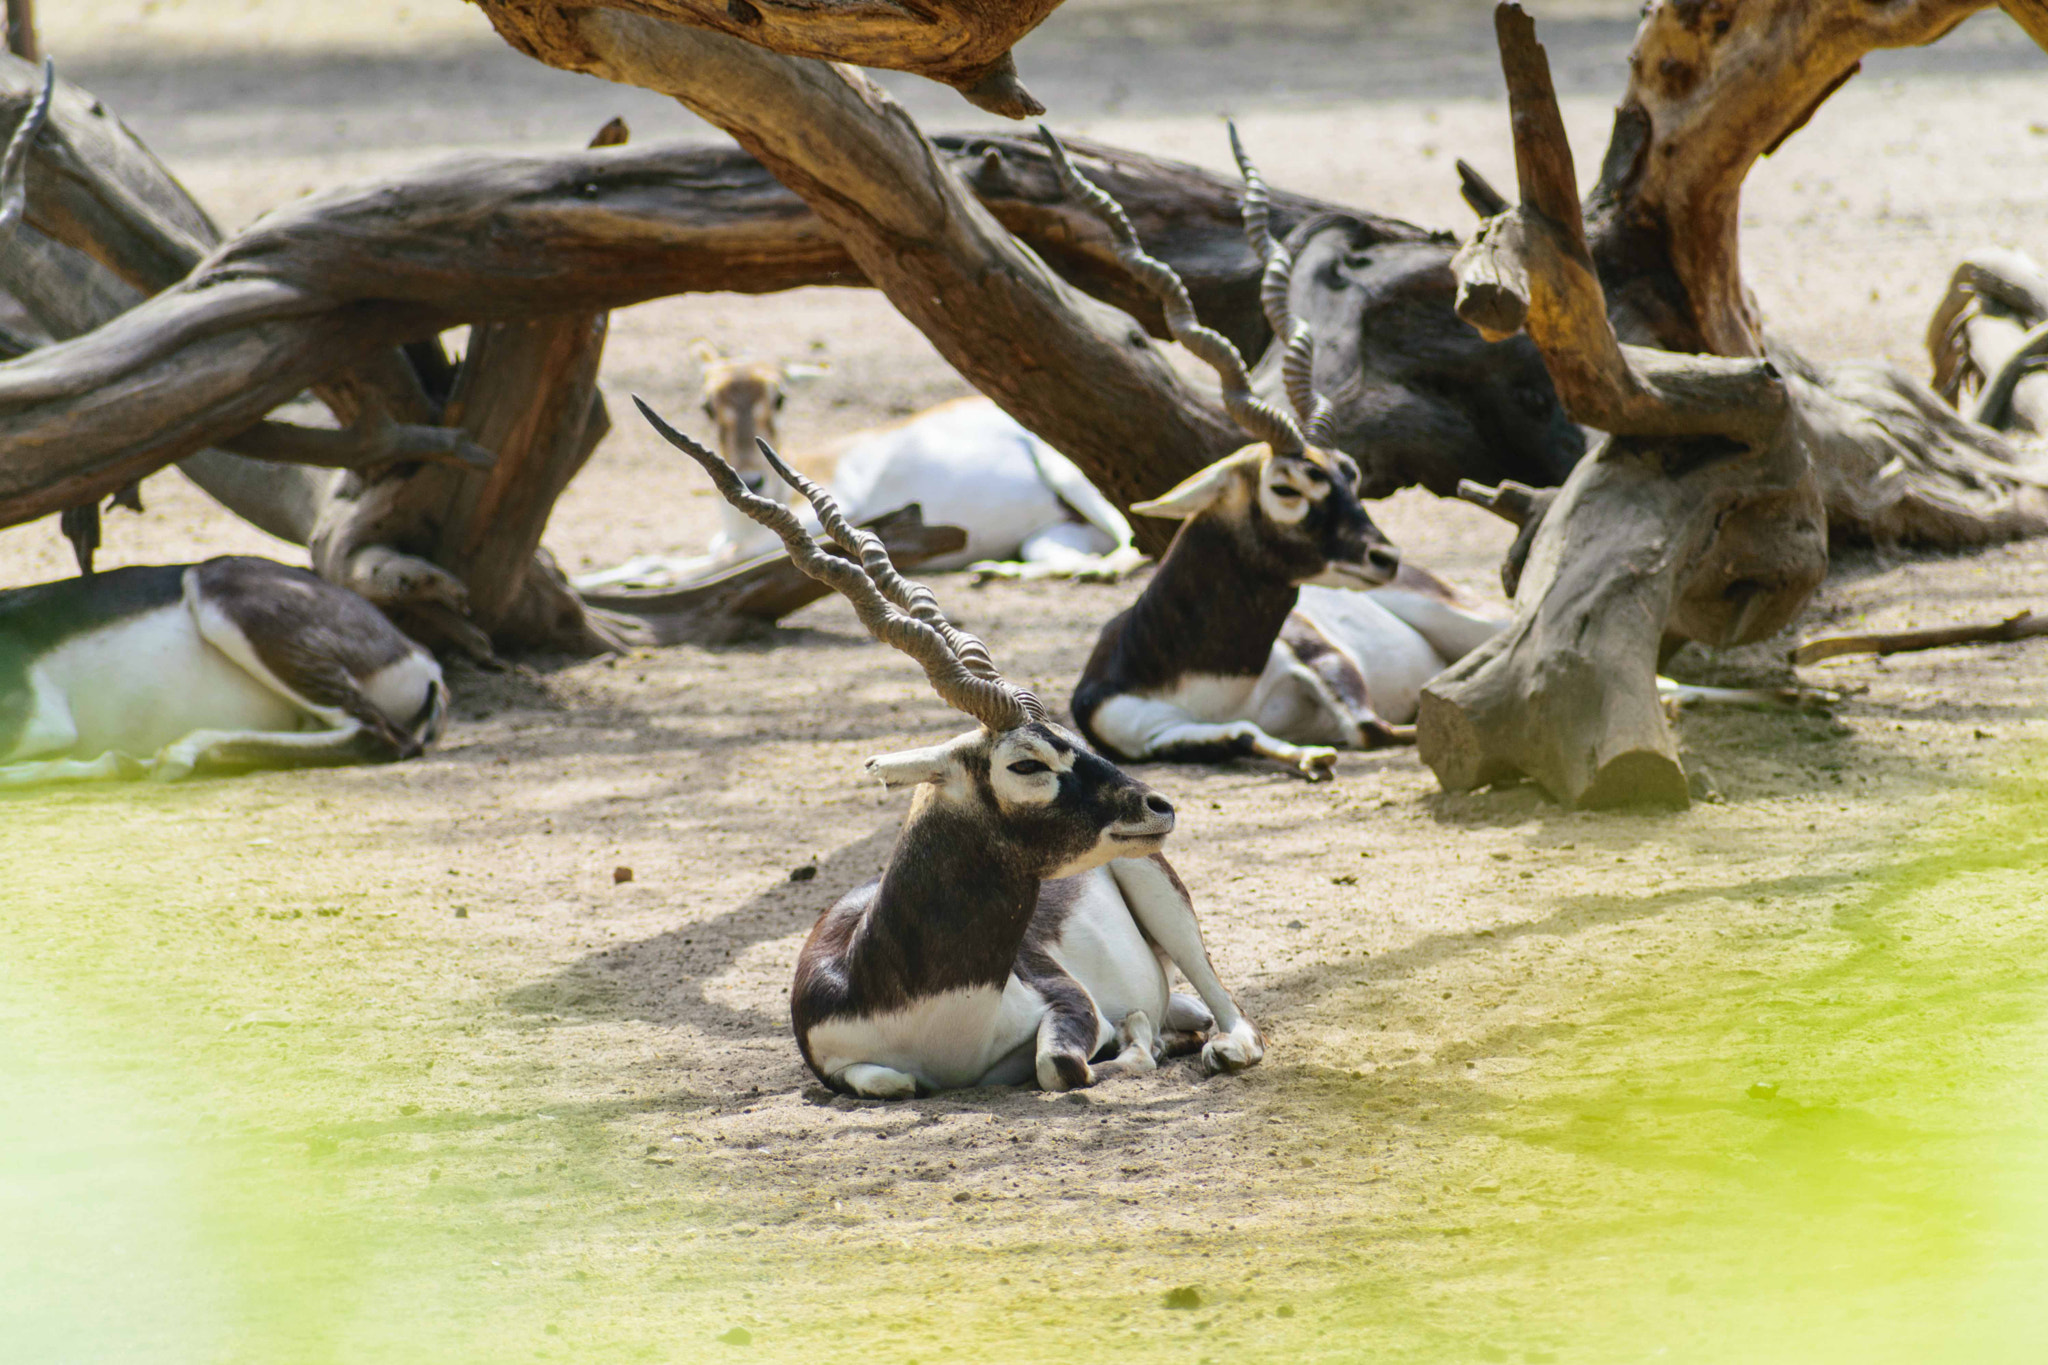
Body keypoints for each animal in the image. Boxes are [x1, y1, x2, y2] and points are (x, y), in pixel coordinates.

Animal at [1, 556, 448, 789]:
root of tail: (423, 661)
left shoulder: (44, 724)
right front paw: (121, 762)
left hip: (222, 599)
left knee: (380, 735)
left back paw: (179, 754)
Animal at [577, 362, 1146, 593]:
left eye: (778, 397)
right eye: (706, 403)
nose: (753, 481)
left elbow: (706, 564)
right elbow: (657, 556)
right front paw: (590, 580)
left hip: (1068, 477)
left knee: (1134, 547)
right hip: (1047, 538)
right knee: (1060, 557)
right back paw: (994, 571)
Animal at [634, 397, 1261, 1096]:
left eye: (1071, 737)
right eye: (1026, 763)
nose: (1158, 806)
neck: (926, 1004)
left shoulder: (1071, 1002)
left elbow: (1061, 1064)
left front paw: (1132, 1040)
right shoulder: (839, 1063)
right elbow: (896, 1082)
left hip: (1154, 883)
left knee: (1225, 1011)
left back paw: (1219, 1047)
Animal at [1040, 133, 1507, 785]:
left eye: (1350, 474)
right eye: (1286, 488)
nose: (1383, 556)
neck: (1209, 681)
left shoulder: (1319, 652)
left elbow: (1368, 727)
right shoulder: (1143, 732)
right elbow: (1244, 734)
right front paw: (1309, 756)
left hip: (1462, 616)